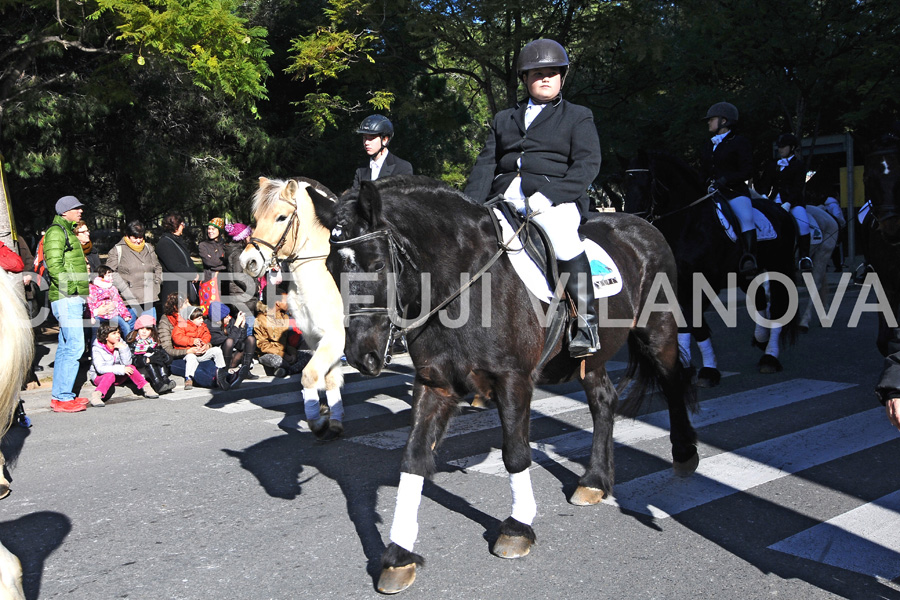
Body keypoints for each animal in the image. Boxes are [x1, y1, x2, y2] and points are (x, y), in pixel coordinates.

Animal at [241, 178, 346, 440]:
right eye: (256, 218)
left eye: (281, 217)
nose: (248, 262)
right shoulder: (315, 337)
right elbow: (329, 379)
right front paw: (332, 422)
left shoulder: (335, 337)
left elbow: (309, 376)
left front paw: (317, 422)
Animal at [326, 176, 700, 592]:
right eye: (330, 267)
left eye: (376, 264)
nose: (362, 356)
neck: (462, 284)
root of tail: (643, 224)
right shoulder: (434, 384)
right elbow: (413, 458)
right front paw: (398, 554)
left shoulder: (513, 379)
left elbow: (516, 454)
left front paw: (518, 527)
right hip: (591, 357)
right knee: (604, 401)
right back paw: (595, 480)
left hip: (658, 330)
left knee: (672, 383)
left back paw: (684, 453)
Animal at [624, 151, 800, 384]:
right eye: (625, 184)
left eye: (646, 182)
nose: (633, 223)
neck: (688, 223)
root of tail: (782, 211)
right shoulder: (679, 284)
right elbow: (685, 324)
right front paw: (684, 366)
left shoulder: (706, 283)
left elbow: (697, 324)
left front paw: (708, 371)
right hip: (744, 275)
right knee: (761, 299)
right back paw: (761, 339)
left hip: (780, 268)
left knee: (779, 308)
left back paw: (770, 358)